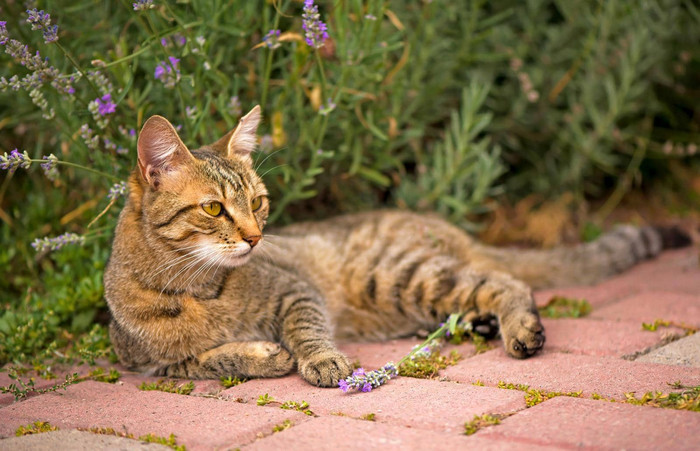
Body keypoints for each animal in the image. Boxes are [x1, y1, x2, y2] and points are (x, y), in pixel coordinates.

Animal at [104, 106, 688, 388]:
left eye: (259, 202)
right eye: (213, 209)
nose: (255, 236)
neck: (194, 290)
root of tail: (449, 227)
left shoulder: (298, 293)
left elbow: (306, 330)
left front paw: (321, 360)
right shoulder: (145, 365)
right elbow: (200, 362)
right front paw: (259, 356)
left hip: (399, 276)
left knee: (506, 281)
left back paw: (519, 328)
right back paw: (480, 325)